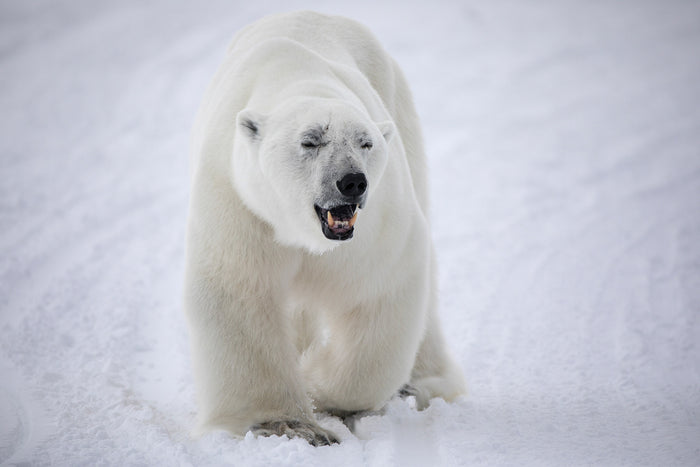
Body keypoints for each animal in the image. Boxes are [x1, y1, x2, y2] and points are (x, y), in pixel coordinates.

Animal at [184, 11, 466, 446]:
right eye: (310, 141)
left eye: (365, 143)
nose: (352, 182)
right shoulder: (241, 202)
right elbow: (240, 290)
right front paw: (287, 425)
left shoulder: (375, 223)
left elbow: (380, 286)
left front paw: (318, 382)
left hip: (401, 112)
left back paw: (422, 383)